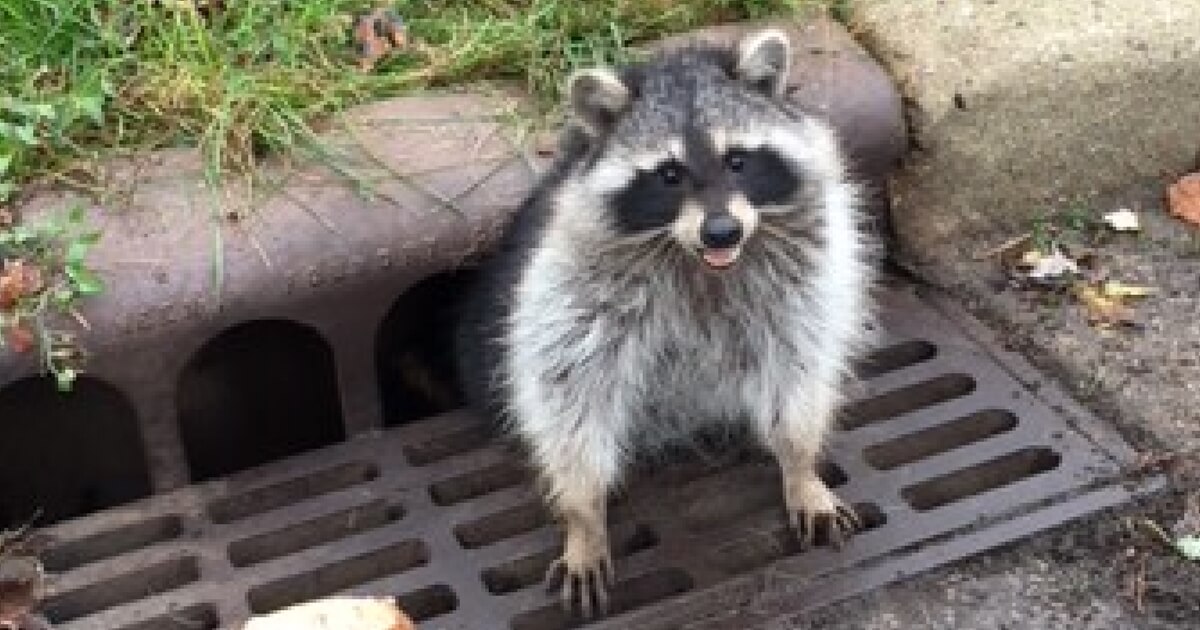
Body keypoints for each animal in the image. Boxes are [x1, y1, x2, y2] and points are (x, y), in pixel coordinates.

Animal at [454, 28, 875, 616]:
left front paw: (800, 466)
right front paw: (583, 516)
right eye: (669, 175)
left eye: (738, 161)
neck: (699, 259)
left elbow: (797, 367)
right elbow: (567, 394)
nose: (721, 231)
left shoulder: (801, 282)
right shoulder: (569, 289)